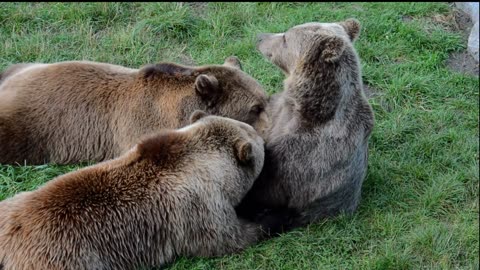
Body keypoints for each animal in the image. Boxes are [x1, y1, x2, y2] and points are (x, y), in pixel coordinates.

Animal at [0, 112, 266, 270]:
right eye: (255, 135)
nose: (263, 137)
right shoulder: (199, 207)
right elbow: (229, 238)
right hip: (68, 258)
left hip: (10, 205)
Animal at [238, 19, 376, 230]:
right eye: (286, 32)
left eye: (285, 38)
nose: (260, 37)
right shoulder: (277, 113)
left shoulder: (305, 152)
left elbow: (267, 184)